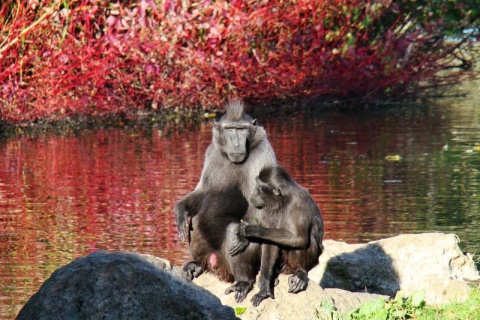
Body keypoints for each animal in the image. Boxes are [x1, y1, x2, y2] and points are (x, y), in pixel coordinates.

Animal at [174, 99, 276, 286]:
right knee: (196, 220)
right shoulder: (212, 153)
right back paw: (197, 264)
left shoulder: (263, 153)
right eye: (230, 129)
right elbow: (203, 191)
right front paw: (180, 211)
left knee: (234, 231)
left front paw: (241, 238)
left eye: (241, 129)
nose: (236, 145)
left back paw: (244, 281)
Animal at [228, 166, 324, 306]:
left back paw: (301, 272)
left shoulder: (297, 203)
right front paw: (264, 288)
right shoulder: (267, 207)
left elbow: (299, 238)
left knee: (306, 240)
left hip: (294, 264)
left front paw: (254, 230)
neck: (282, 200)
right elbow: (269, 243)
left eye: (259, 187)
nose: (253, 192)